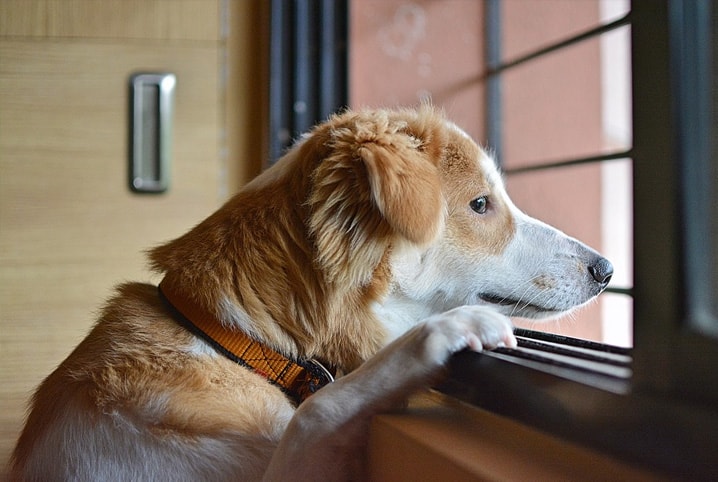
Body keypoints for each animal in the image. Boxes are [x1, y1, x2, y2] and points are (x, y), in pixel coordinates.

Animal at [9, 107, 612, 480]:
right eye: (481, 204)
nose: (606, 268)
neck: (240, 342)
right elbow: (319, 411)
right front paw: (442, 333)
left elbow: (316, 410)